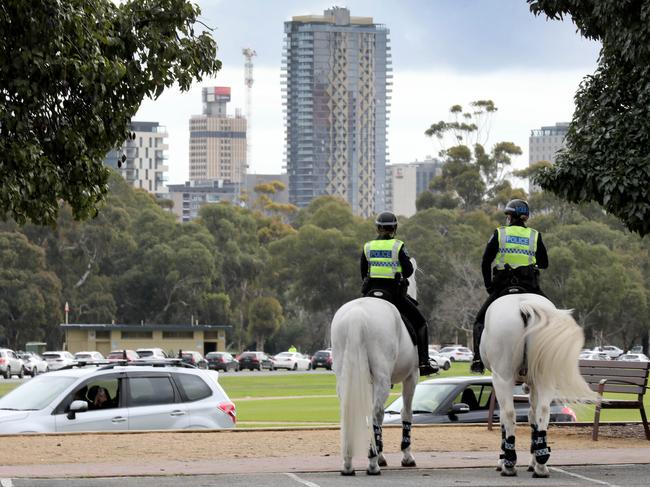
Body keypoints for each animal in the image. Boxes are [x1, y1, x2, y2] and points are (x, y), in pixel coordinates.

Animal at [332, 264, 418, 474]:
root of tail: (357, 316)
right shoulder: (412, 376)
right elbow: (406, 412)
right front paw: (406, 456)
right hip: (383, 378)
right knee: (375, 412)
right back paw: (372, 462)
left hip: (345, 377)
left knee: (350, 411)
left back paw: (348, 463)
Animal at [478, 294, 596, 476]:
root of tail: (523, 305)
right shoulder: (533, 385)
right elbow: (533, 417)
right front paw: (534, 459)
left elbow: (505, 420)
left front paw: (502, 459)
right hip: (544, 377)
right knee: (543, 411)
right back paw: (541, 464)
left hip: (502, 378)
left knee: (508, 414)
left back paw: (509, 463)